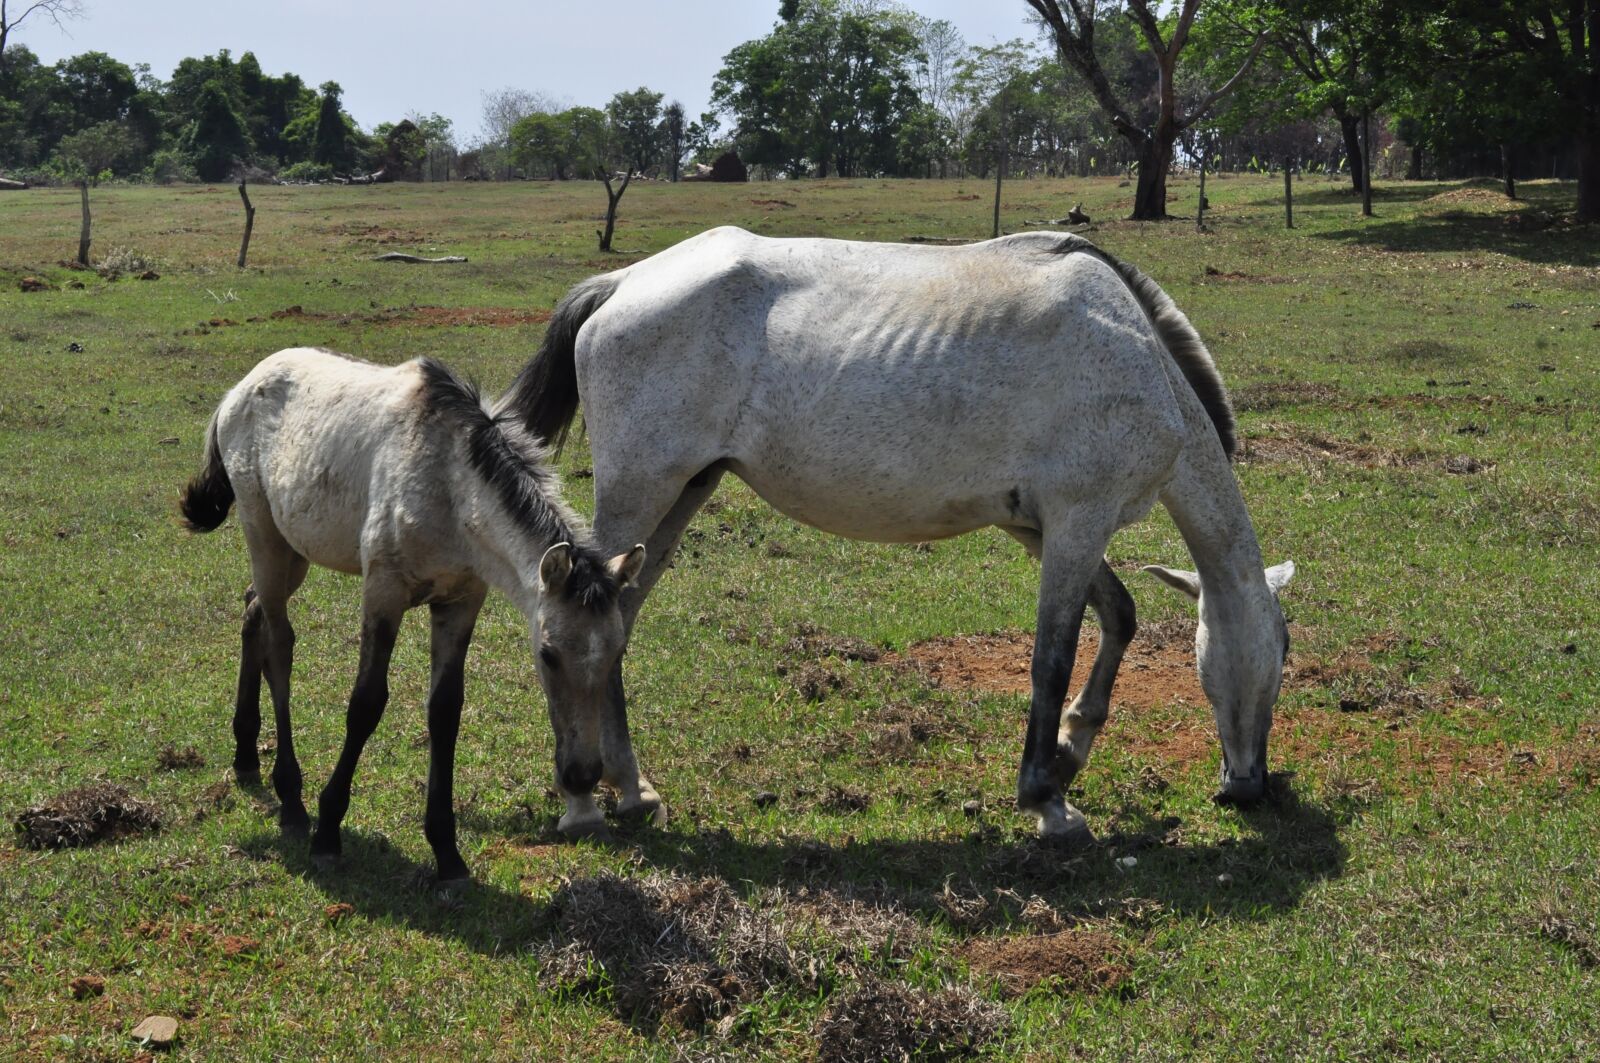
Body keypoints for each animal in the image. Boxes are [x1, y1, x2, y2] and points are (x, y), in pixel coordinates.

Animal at [180, 347, 646, 880]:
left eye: (616, 653)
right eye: (547, 655)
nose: (583, 774)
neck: (449, 487)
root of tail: (238, 391)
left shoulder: (461, 602)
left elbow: (445, 712)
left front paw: (447, 852)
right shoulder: (383, 592)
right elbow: (365, 704)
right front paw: (328, 829)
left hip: (295, 549)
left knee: (253, 612)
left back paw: (244, 754)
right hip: (265, 538)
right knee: (279, 644)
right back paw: (292, 800)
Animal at [503, 227, 1294, 843]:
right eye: (1282, 656)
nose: (1249, 785)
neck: (1138, 356)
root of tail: (621, 284)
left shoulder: (1041, 528)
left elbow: (1119, 616)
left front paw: (1072, 749)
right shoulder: (1079, 521)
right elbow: (1052, 657)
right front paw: (1048, 799)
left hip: (681, 498)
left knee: (620, 626)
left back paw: (633, 790)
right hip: (641, 495)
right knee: (579, 627)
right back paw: (583, 794)